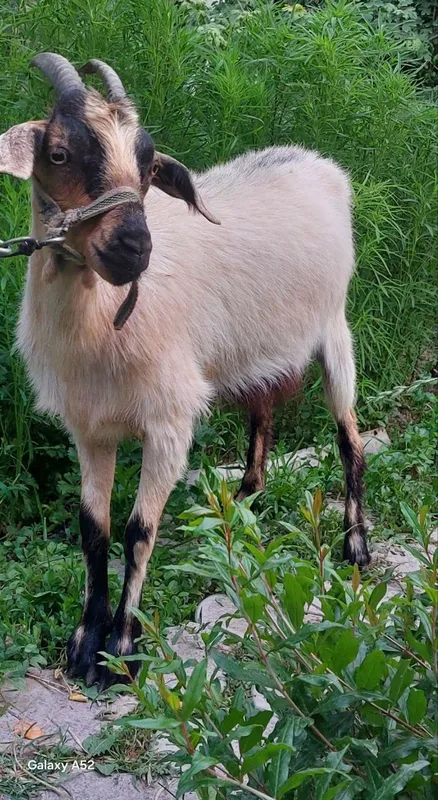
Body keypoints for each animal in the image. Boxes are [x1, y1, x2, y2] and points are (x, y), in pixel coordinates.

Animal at [0, 54, 370, 687]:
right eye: (59, 153)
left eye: (149, 165)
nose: (134, 246)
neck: (100, 324)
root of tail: (317, 162)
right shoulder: (89, 427)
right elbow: (93, 529)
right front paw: (83, 645)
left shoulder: (169, 421)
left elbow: (136, 530)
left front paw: (122, 649)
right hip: (254, 348)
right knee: (263, 413)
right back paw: (243, 503)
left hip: (333, 329)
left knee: (350, 439)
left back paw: (356, 548)